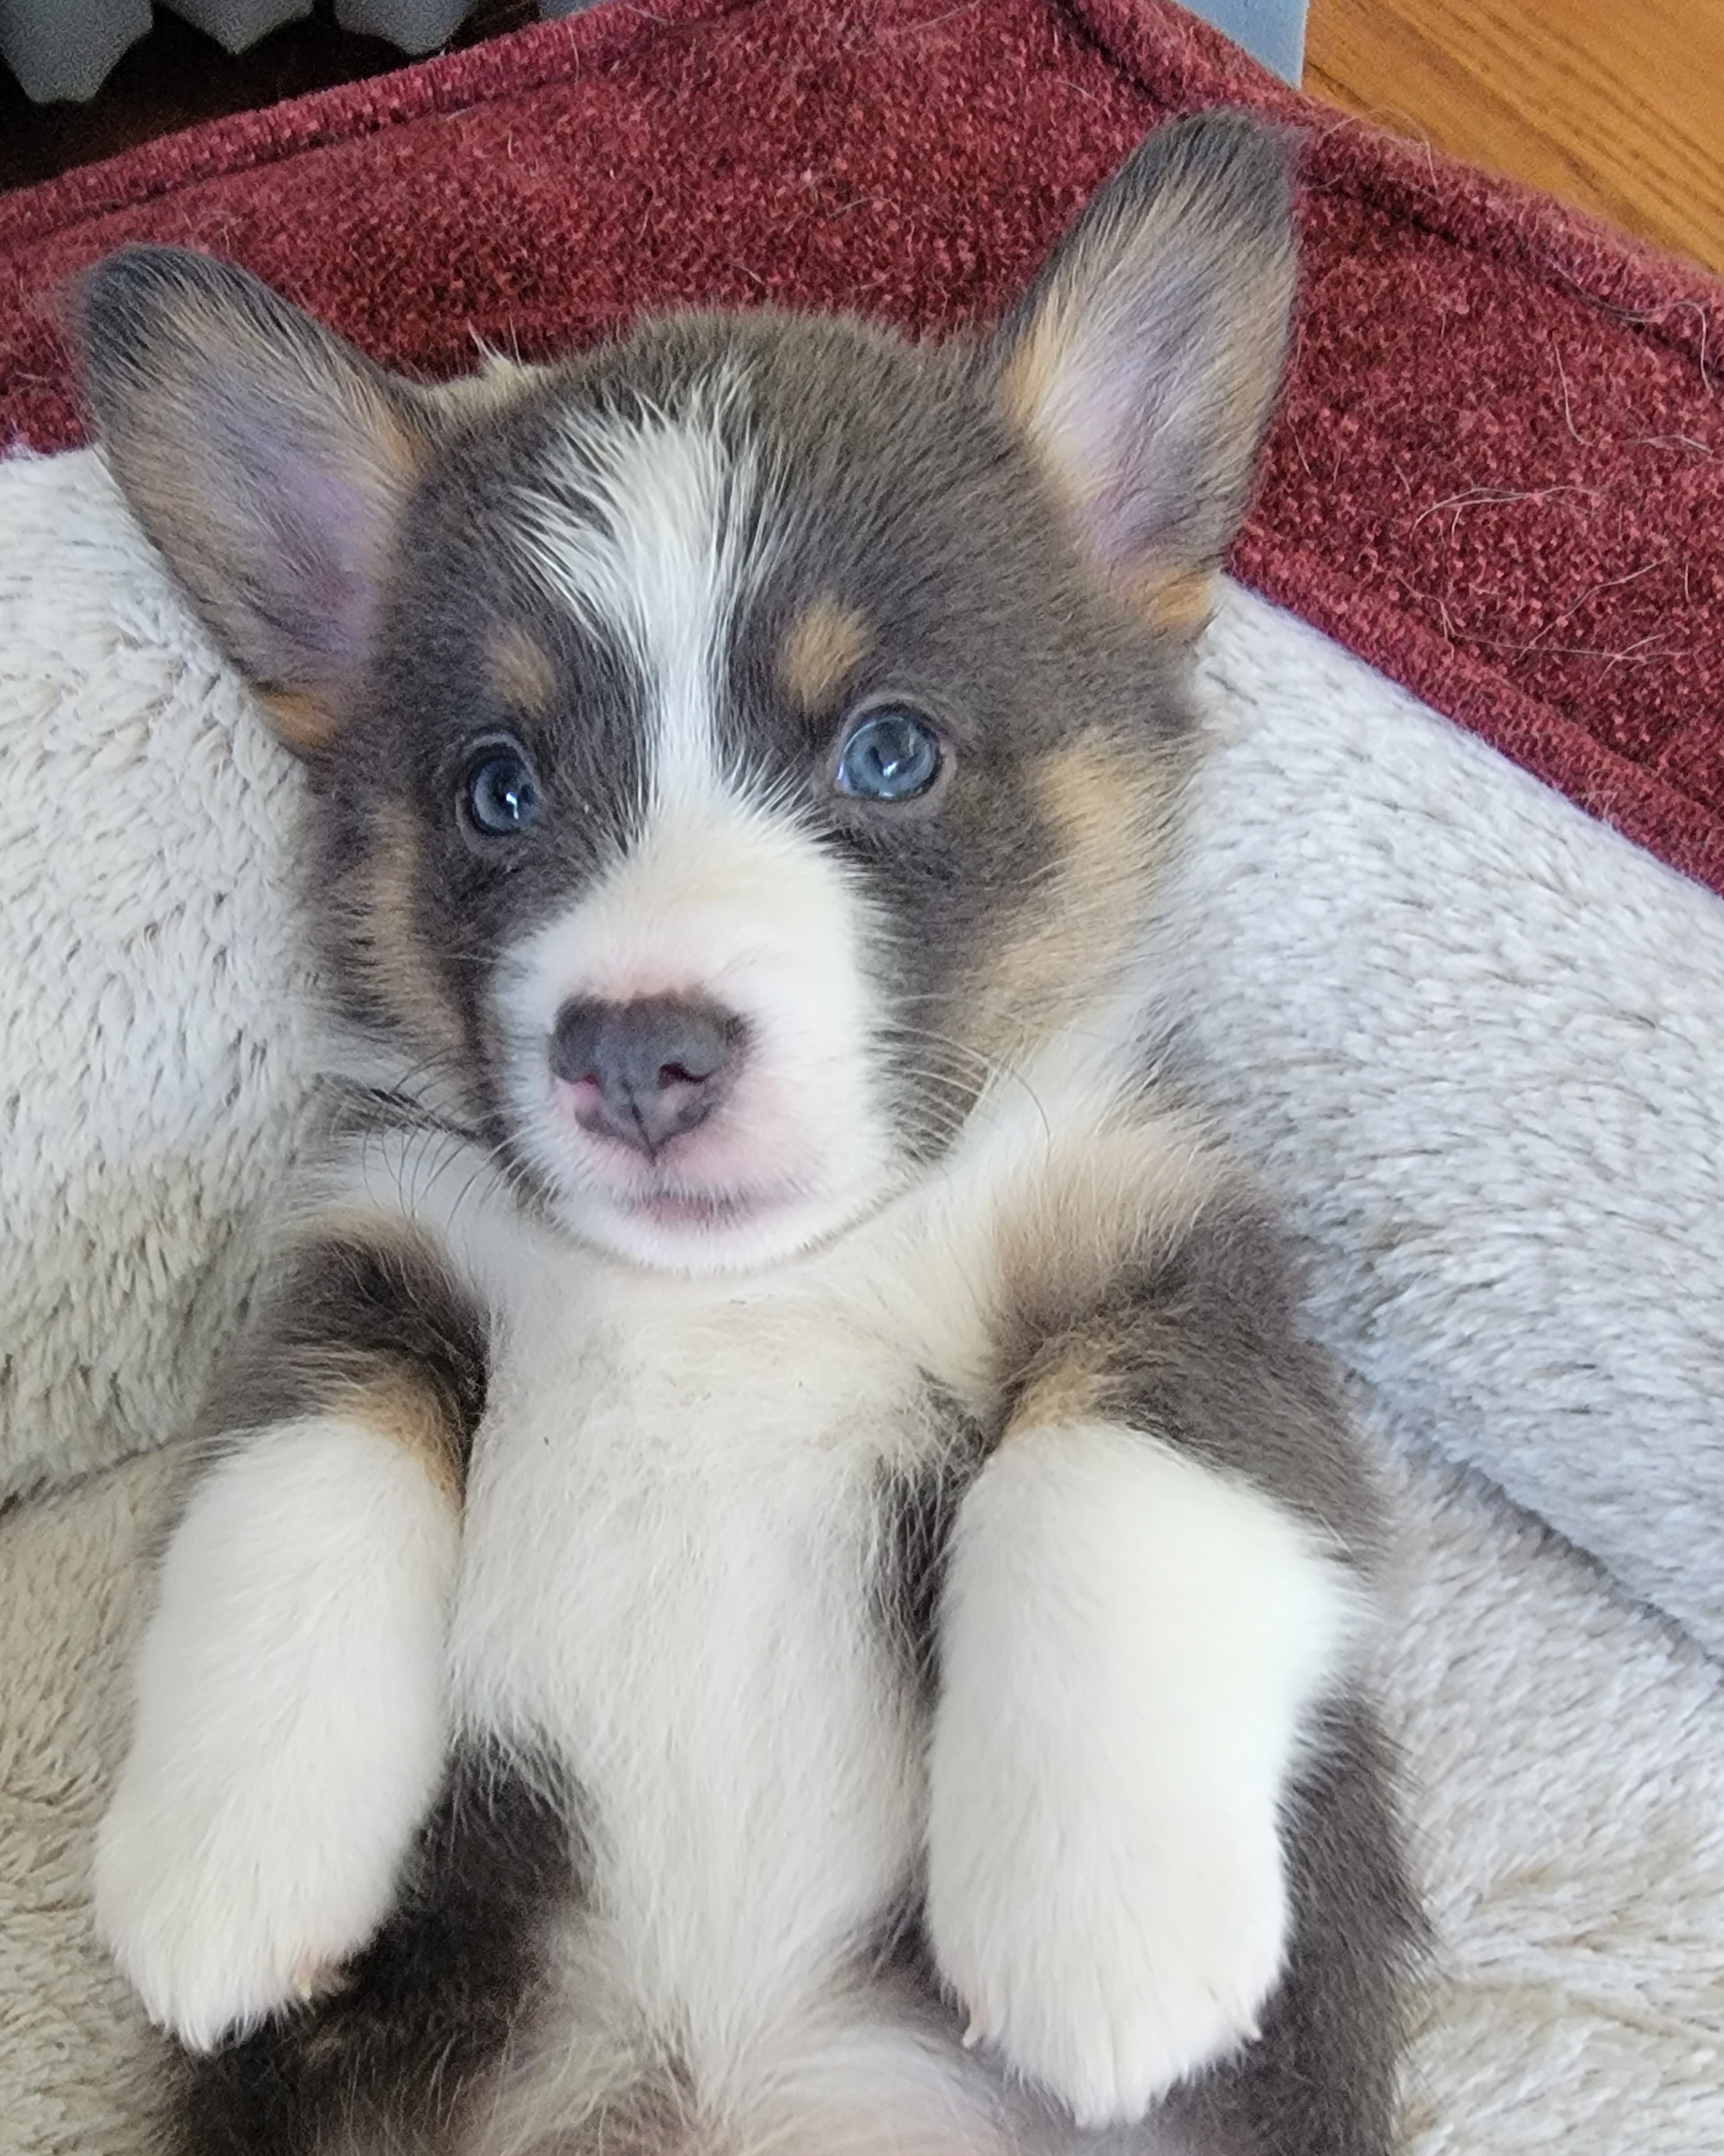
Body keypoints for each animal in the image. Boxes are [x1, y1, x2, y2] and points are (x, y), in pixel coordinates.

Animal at [78, 111, 1418, 2156]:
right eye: (496, 788)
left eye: (887, 750)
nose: (639, 1055)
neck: (741, 1304)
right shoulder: (372, 1243)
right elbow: (297, 1465)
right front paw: (225, 1861)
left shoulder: (1182, 1243)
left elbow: (1113, 1458)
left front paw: (1101, 1924)